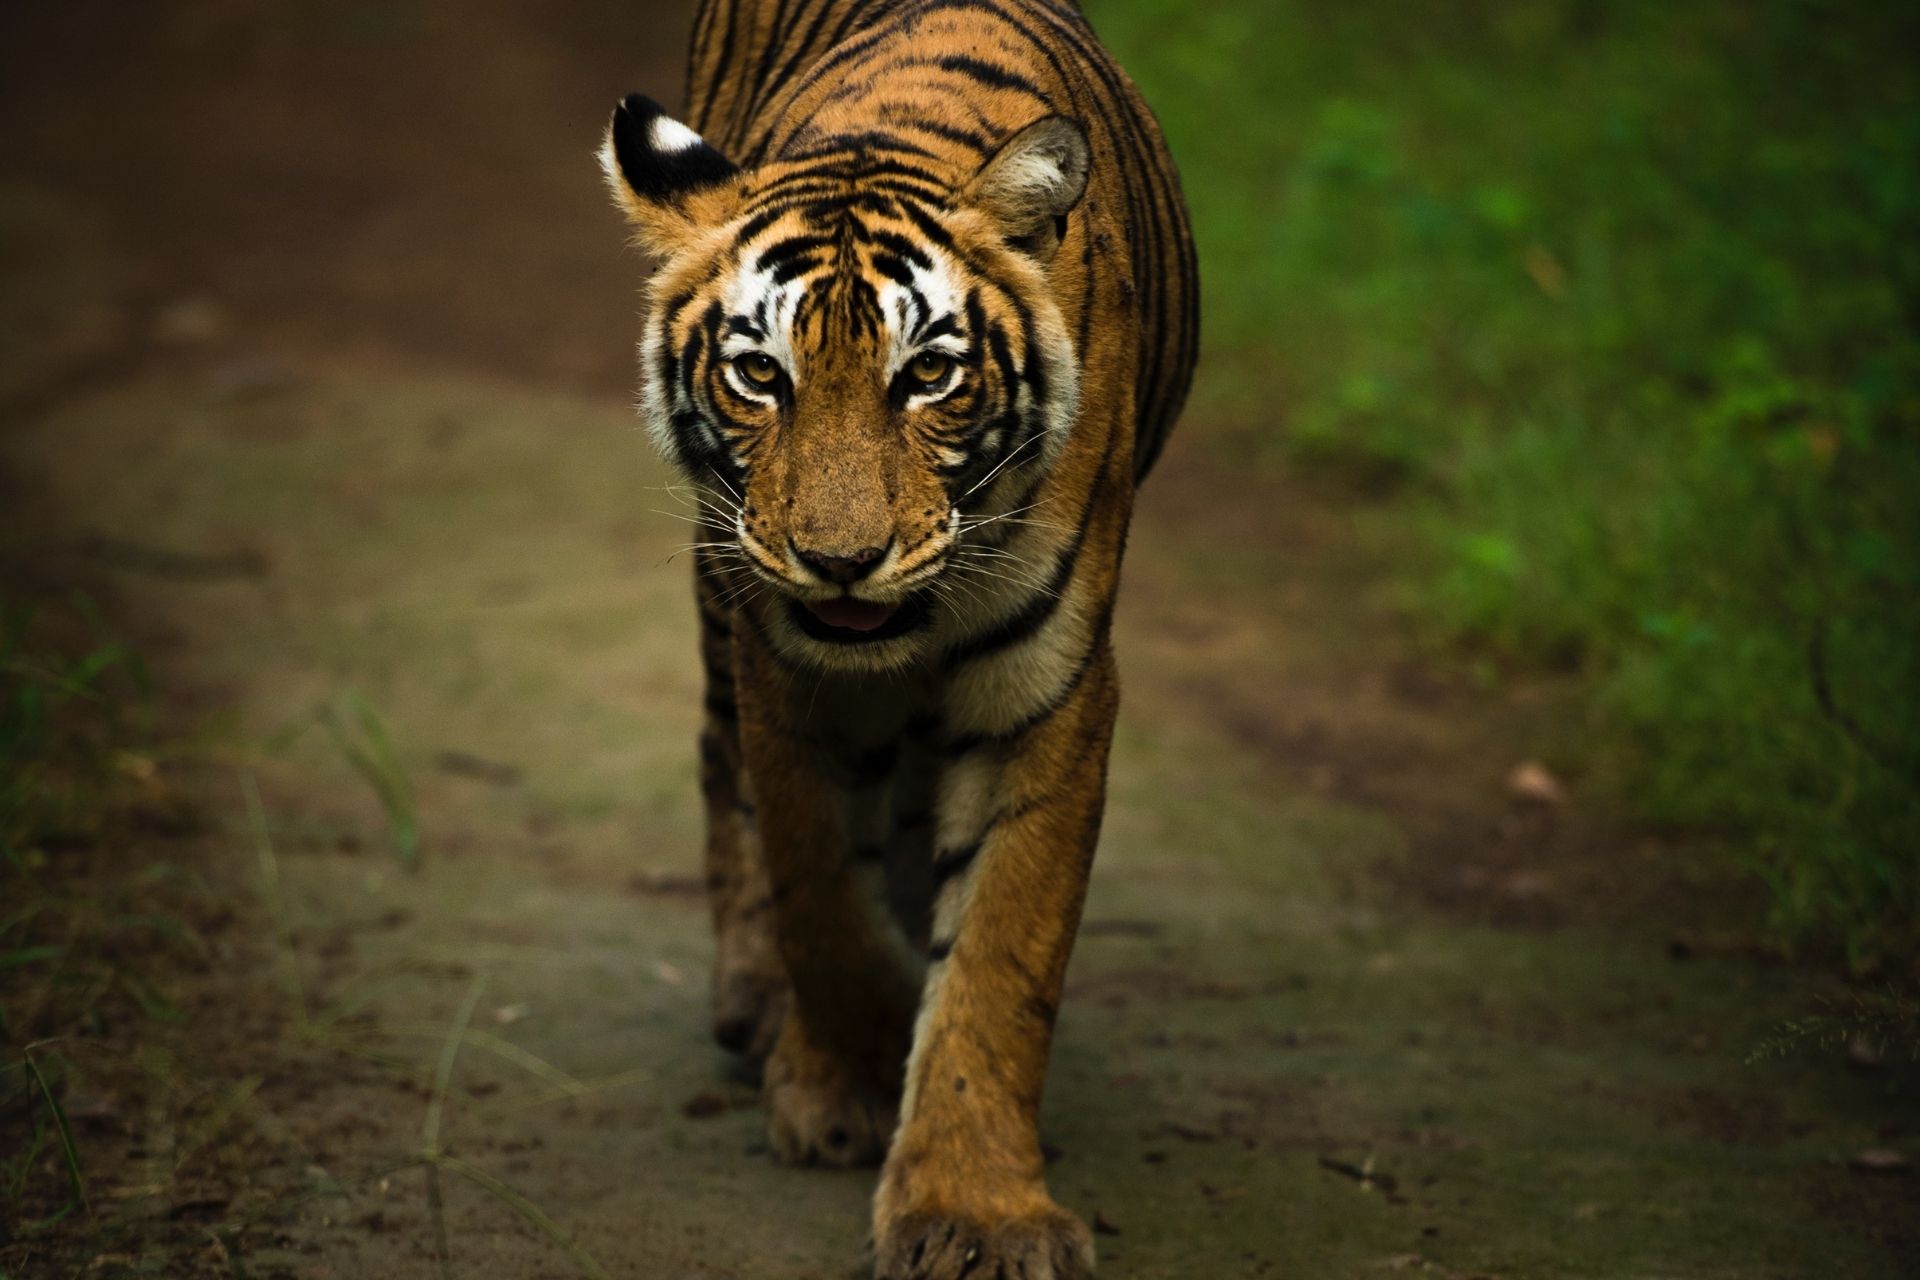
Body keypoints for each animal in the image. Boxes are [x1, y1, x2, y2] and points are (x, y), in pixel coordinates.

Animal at [599, 0, 1198, 1274]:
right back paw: (753, 1000)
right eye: (758, 375)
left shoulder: (1045, 691)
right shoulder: (785, 674)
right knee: (723, 769)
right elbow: (821, 895)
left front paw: (974, 1211)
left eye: (927, 376)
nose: (840, 559)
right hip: (718, 586)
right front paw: (845, 1073)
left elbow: (999, 959)